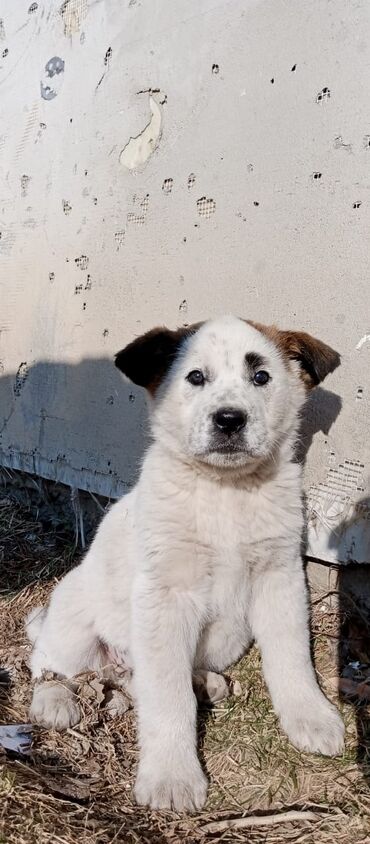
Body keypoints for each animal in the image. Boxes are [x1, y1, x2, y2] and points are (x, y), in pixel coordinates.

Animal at [27, 314, 346, 812]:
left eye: (261, 377)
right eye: (195, 377)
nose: (230, 419)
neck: (226, 491)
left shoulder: (280, 578)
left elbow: (292, 657)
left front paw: (311, 717)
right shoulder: (167, 596)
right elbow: (166, 696)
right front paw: (171, 777)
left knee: (140, 680)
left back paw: (205, 683)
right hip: (72, 626)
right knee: (45, 663)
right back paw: (54, 701)